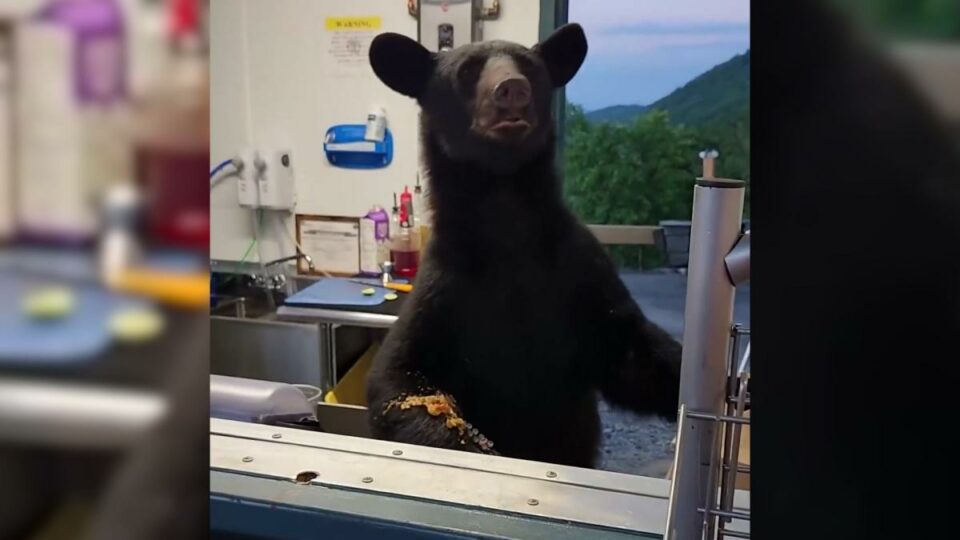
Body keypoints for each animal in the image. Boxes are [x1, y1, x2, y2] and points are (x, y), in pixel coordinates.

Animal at [362, 24, 684, 468]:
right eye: (467, 70)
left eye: (531, 67)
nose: (512, 89)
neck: (507, 215)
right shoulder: (444, 287)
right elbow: (399, 380)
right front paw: (472, 444)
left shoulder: (580, 273)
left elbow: (634, 354)